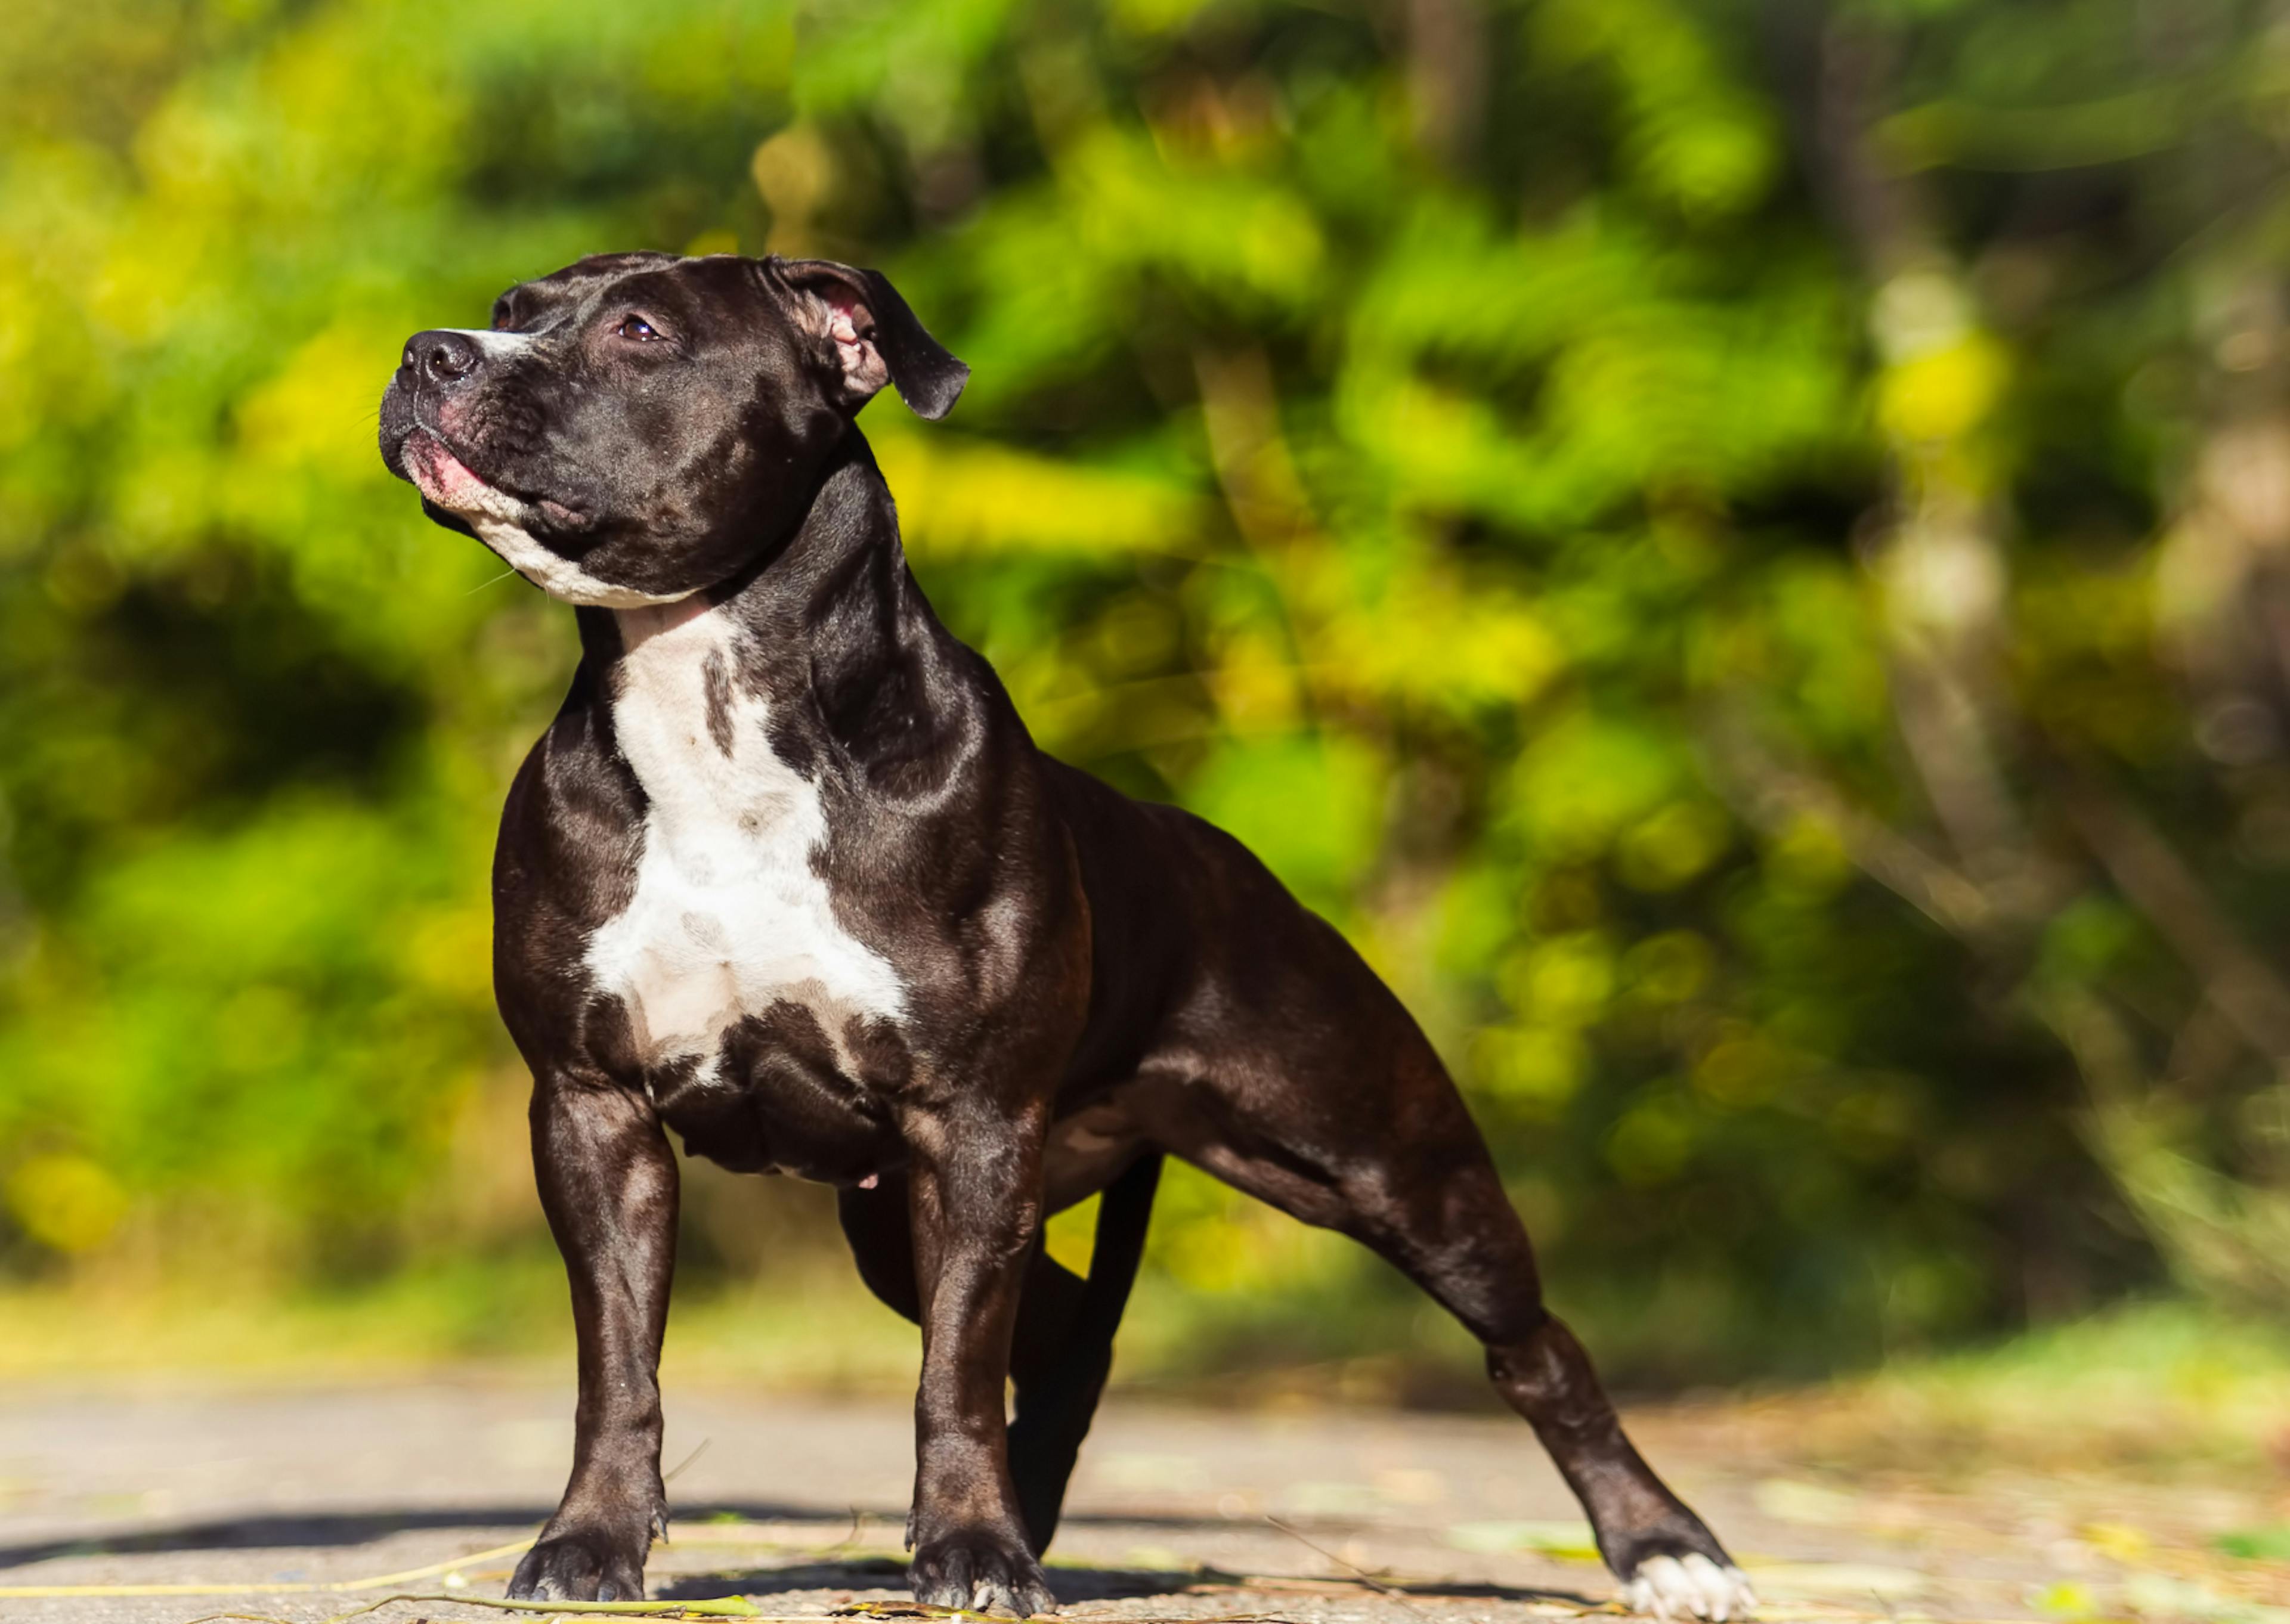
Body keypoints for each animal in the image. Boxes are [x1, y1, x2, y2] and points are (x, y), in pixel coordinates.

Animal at [380, 253, 1749, 1622]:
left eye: (639, 330)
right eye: (510, 312)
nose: (426, 353)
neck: (711, 709)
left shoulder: (974, 1123)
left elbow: (951, 1372)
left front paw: (974, 1552)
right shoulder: (593, 1108)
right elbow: (620, 1359)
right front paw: (590, 1543)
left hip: (1389, 1164)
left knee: (1534, 1346)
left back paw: (1665, 1544)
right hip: (912, 1216)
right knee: (1064, 1338)